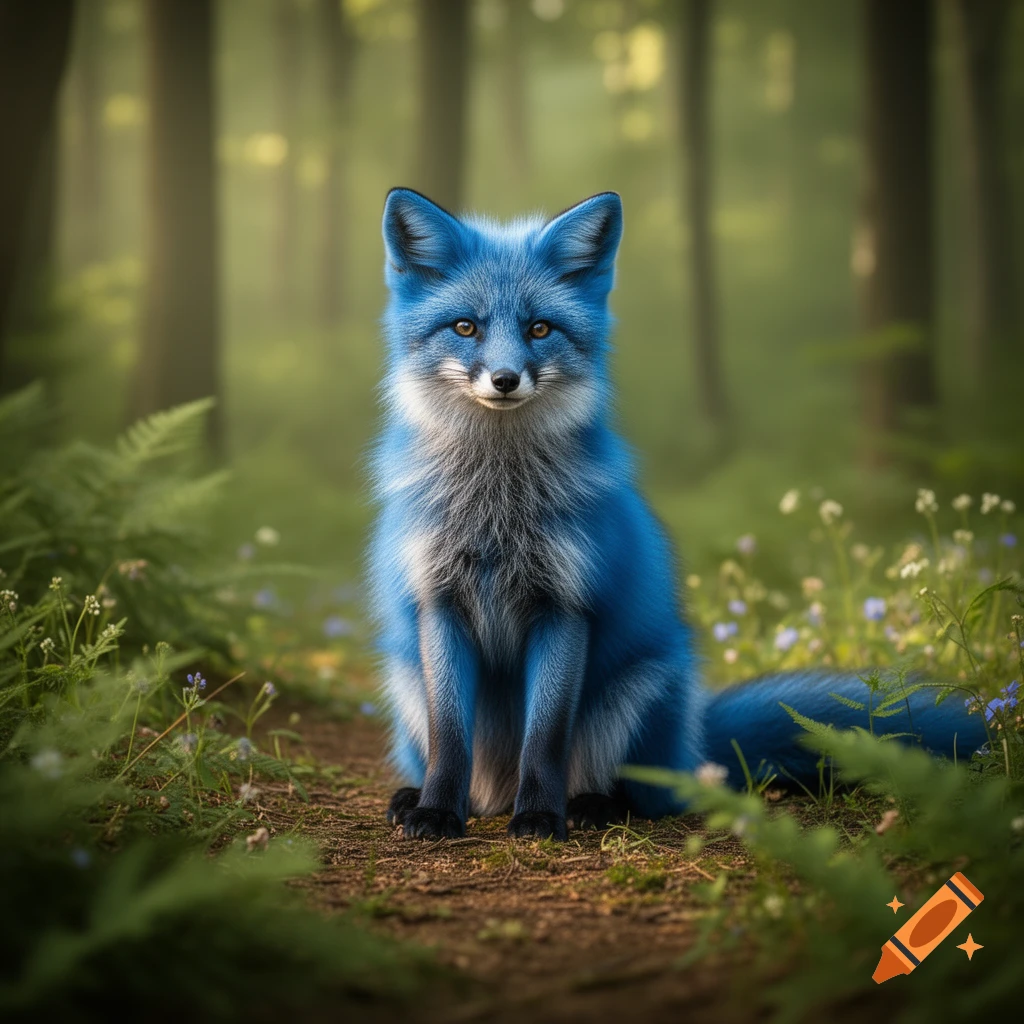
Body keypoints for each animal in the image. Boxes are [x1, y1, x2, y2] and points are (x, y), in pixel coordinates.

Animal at [367, 187, 985, 841]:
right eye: (466, 326)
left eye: (539, 328)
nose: (506, 380)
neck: (495, 511)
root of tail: (693, 742)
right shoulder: (438, 602)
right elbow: (450, 736)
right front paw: (437, 811)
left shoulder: (567, 604)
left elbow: (546, 736)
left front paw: (539, 816)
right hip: (405, 680)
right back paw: (417, 796)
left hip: (636, 690)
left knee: (645, 792)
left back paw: (588, 805)